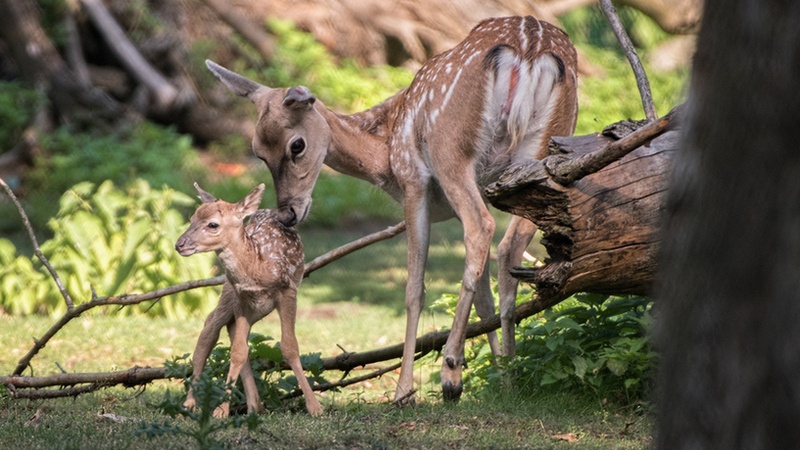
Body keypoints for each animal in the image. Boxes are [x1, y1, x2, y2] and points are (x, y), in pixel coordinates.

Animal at [205, 14, 576, 400]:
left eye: (297, 145)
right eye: (258, 151)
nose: (287, 213)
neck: (384, 153)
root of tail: (528, 52)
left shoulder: (413, 179)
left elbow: (414, 289)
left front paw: (404, 390)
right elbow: (483, 291)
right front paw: (499, 374)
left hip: (451, 150)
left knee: (482, 228)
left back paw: (450, 370)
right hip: (539, 157)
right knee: (508, 249)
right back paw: (509, 374)